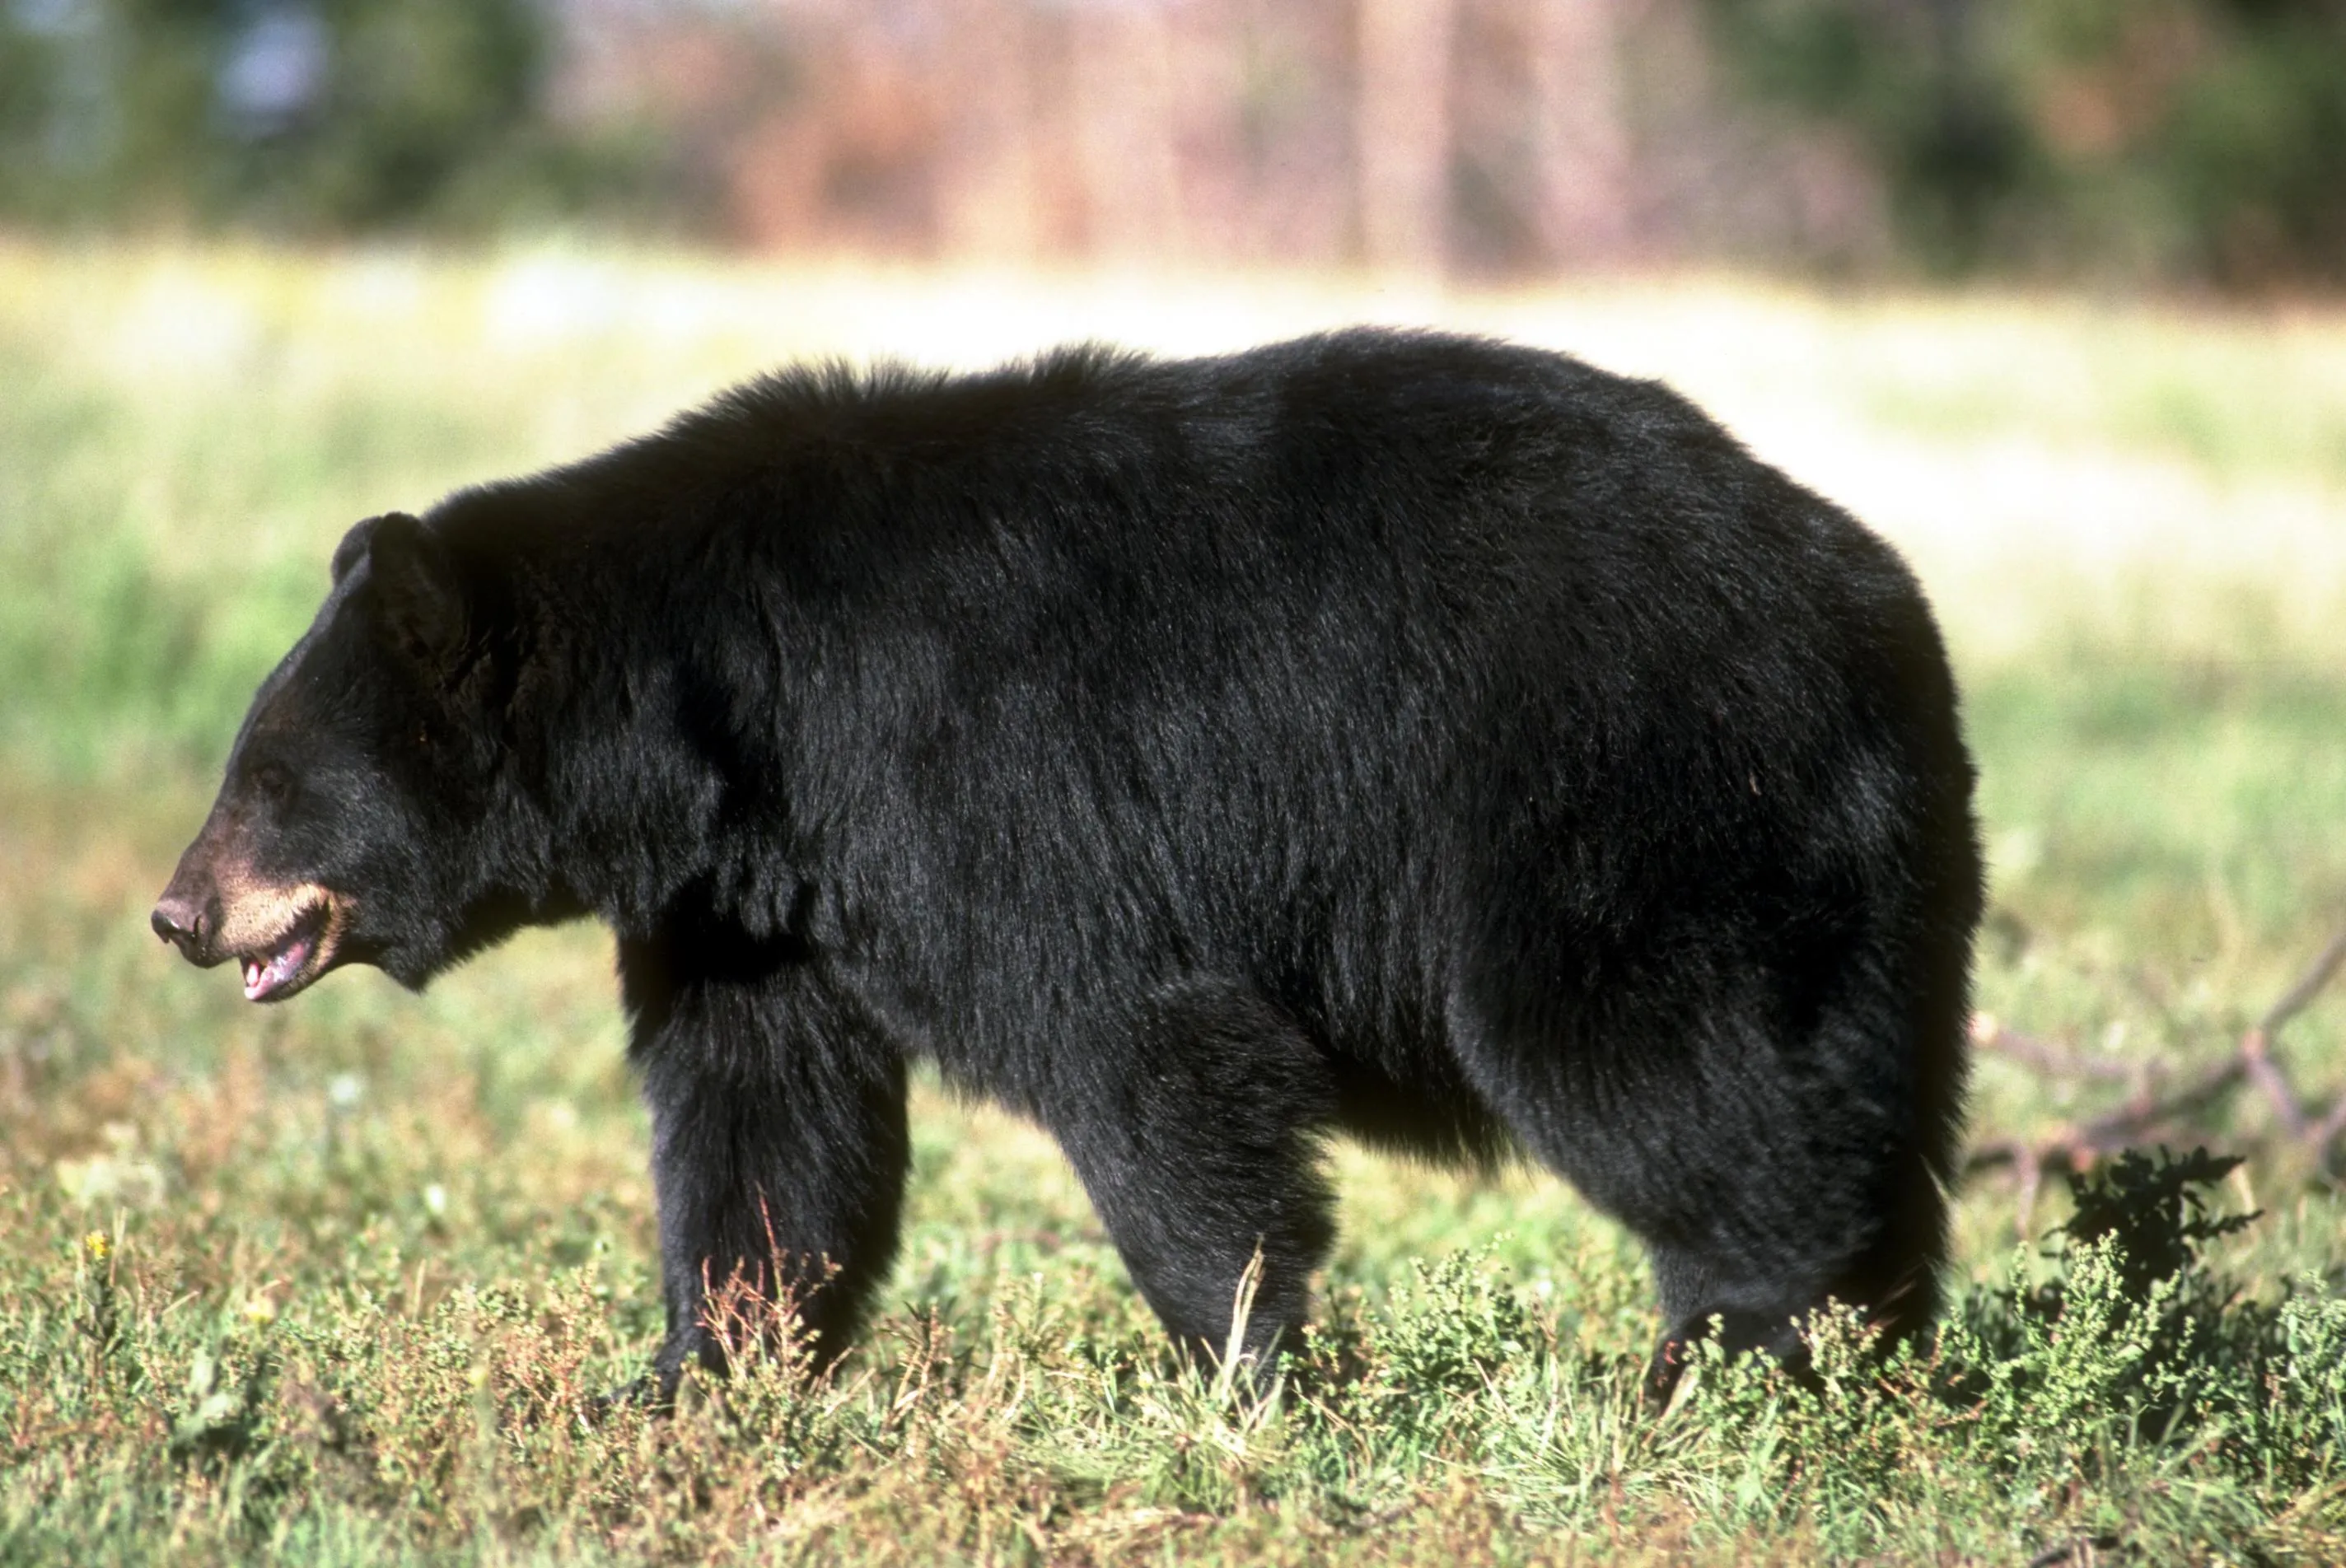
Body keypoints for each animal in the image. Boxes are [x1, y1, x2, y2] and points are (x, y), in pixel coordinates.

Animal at [151, 328, 1979, 1397]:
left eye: (272, 777)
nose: (179, 909)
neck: (730, 717)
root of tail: (1869, 591)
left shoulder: (980, 774)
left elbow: (1139, 1047)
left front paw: (1244, 1373)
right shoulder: (754, 903)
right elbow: (762, 1120)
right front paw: (695, 1375)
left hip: (1619, 793)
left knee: (1659, 1073)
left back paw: (1729, 1355)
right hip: (1864, 876)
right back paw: (1871, 1345)